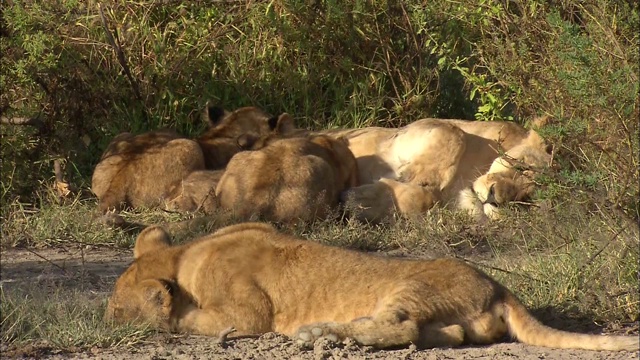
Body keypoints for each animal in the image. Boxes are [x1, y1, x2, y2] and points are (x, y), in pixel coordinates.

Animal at [322, 116, 552, 221]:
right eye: (521, 166)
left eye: (525, 201)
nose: (493, 198)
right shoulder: (434, 125)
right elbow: (455, 136)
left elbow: (424, 196)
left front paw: (358, 200)